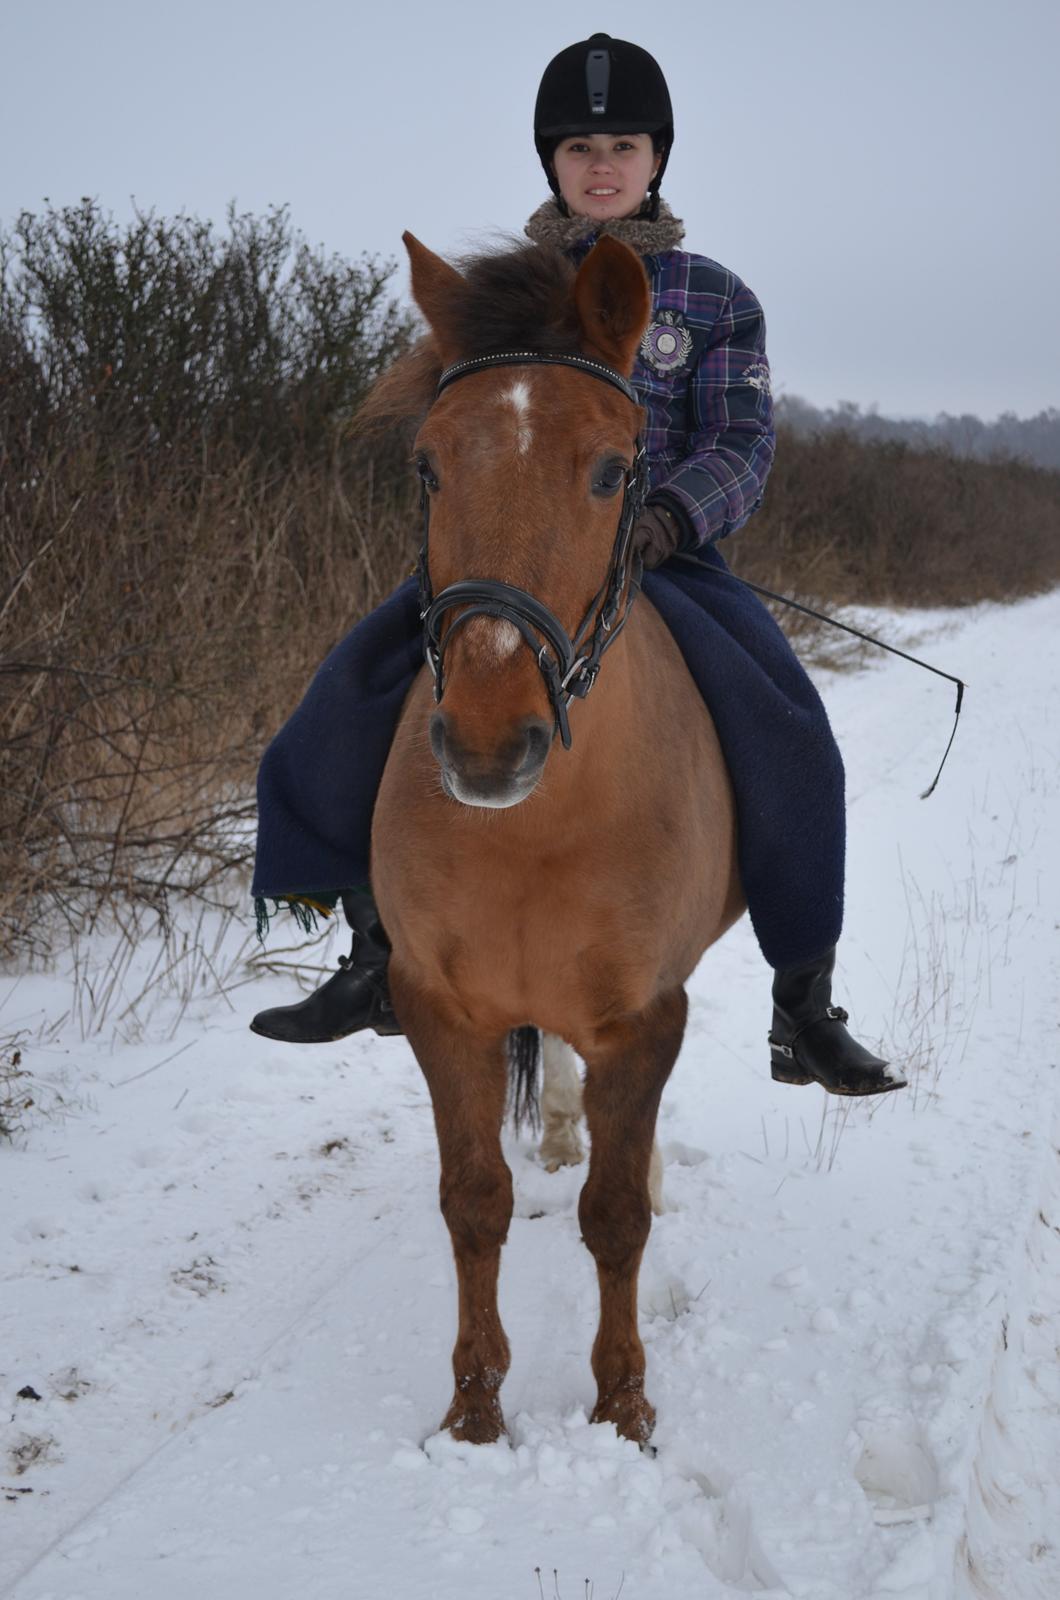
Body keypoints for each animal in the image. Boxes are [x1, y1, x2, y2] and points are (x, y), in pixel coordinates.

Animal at [368, 228, 746, 1452]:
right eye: (429, 466)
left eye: (614, 470)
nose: (491, 742)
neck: (537, 829)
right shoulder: (440, 1005)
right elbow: (473, 1202)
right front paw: (475, 1410)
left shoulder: (645, 1014)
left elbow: (616, 1215)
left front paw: (623, 1405)